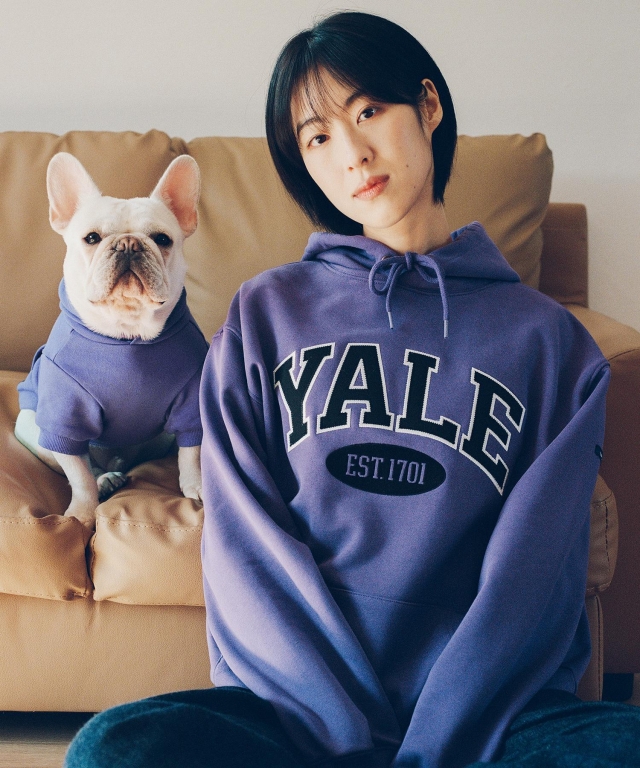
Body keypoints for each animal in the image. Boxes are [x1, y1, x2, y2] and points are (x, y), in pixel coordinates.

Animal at [14, 153, 208, 532]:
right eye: (91, 238)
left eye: (162, 239)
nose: (129, 244)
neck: (126, 331)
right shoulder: (65, 417)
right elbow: (79, 474)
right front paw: (82, 512)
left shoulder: (191, 404)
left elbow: (190, 453)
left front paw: (195, 487)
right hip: (31, 427)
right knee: (84, 465)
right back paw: (107, 479)